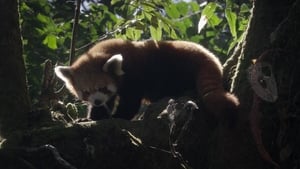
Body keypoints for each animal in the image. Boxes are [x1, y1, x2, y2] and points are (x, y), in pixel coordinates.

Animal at [55, 38, 239, 124]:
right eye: (86, 92)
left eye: (102, 87)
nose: (98, 101)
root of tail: (209, 57)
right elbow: (109, 102)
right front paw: (93, 116)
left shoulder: (135, 76)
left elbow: (130, 102)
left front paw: (117, 117)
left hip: (177, 68)